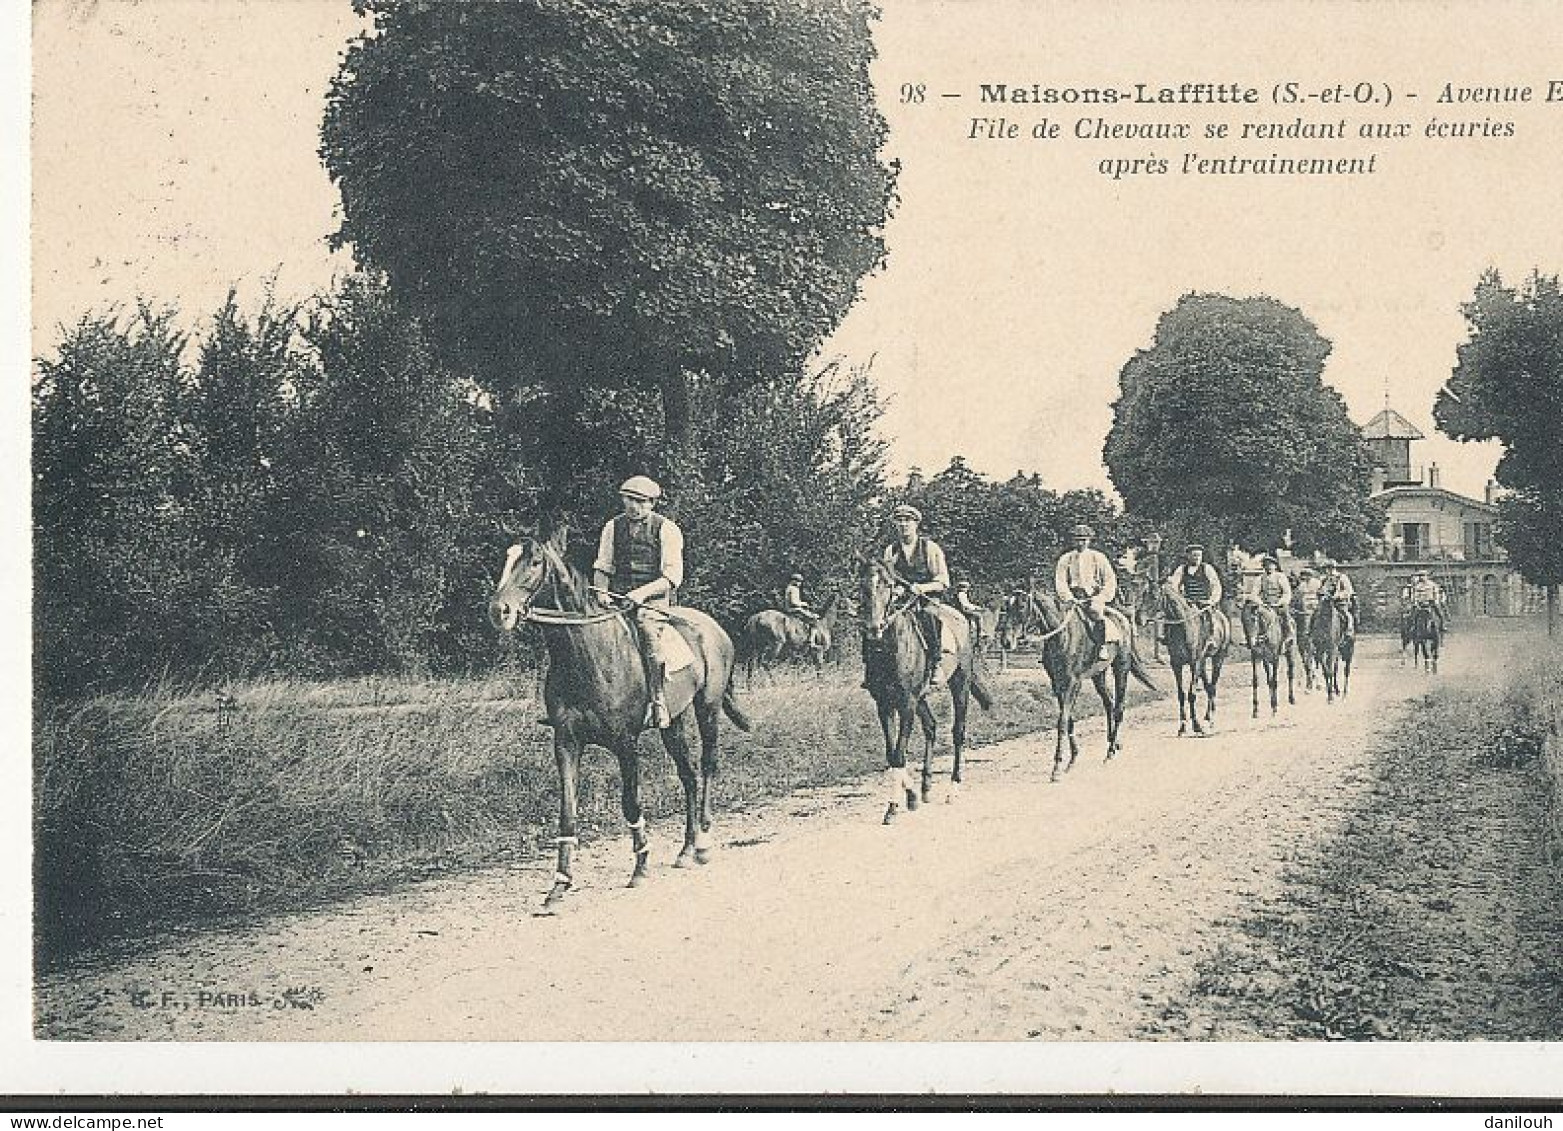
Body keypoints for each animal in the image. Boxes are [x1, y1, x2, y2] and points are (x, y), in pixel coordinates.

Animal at [490, 531, 753, 912]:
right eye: (505, 560)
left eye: (535, 562)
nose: (499, 611)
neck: (587, 655)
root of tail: (713, 627)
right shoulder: (566, 742)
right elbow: (567, 810)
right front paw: (560, 883)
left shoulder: (625, 743)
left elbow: (630, 802)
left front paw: (640, 865)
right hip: (673, 724)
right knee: (688, 775)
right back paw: (686, 848)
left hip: (708, 709)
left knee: (707, 766)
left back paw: (702, 844)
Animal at [856, 556, 987, 824]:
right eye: (863, 585)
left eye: (888, 584)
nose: (874, 628)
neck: (889, 649)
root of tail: (960, 617)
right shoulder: (884, 704)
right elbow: (891, 754)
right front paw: (912, 795)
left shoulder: (906, 703)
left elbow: (899, 754)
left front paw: (893, 807)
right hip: (921, 698)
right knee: (931, 726)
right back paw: (926, 786)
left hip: (959, 684)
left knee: (958, 732)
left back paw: (953, 788)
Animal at [1025, 587, 1162, 781]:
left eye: (1022, 607)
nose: (1006, 641)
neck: (1063, 637)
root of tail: (1124, 620)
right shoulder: (1057, 683)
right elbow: (1068, 719)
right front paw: (1072, 759)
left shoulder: (1073, 683)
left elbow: (1062, 721)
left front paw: (1057, 767)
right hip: (1099, 675)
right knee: (1109, 703)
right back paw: (1114, 743)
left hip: (1121, 668)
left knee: (1119, 707)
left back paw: (1110, 752)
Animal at [1156, 587, 1225, 737]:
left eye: (1155, 596)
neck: (1183, 628)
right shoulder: (1176, 665)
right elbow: (1181, 694)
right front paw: (1182, 727)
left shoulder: (1194, 663)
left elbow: (1191, 694)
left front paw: (1197, 726)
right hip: (1203, 663)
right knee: (1208, 686)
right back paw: (1207, 717)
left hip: (1218, 658)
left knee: (1213, 686)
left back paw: (1211, 719)